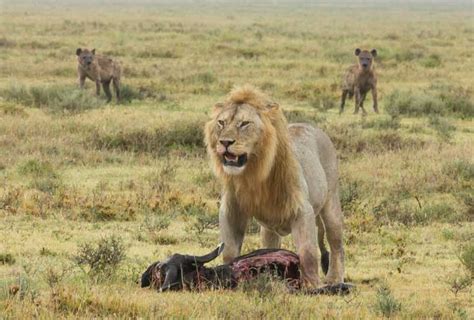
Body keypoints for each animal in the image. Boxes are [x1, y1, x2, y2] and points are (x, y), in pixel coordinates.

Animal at [204, 85, 344, 288]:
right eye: (221, 123)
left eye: (244, 124)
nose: (225, 142)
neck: (253, 173)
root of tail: (315, 128)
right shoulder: (231, 209)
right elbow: (229, 250)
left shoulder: (302, 210)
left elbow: (308, 251)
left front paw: (312, 285)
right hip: (269, 229)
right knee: (271, 247)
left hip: (331, 203)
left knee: (336, 243)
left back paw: (334, 278)